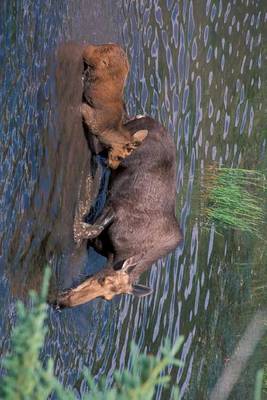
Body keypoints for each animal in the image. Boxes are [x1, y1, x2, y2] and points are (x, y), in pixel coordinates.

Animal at [57, 115, 183, 306]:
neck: (118, 253)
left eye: (106, 297)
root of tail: (148, 118)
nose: (65, 303)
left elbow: (92, 232)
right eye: (102, 279)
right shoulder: (116, 207)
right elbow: (94, 227)